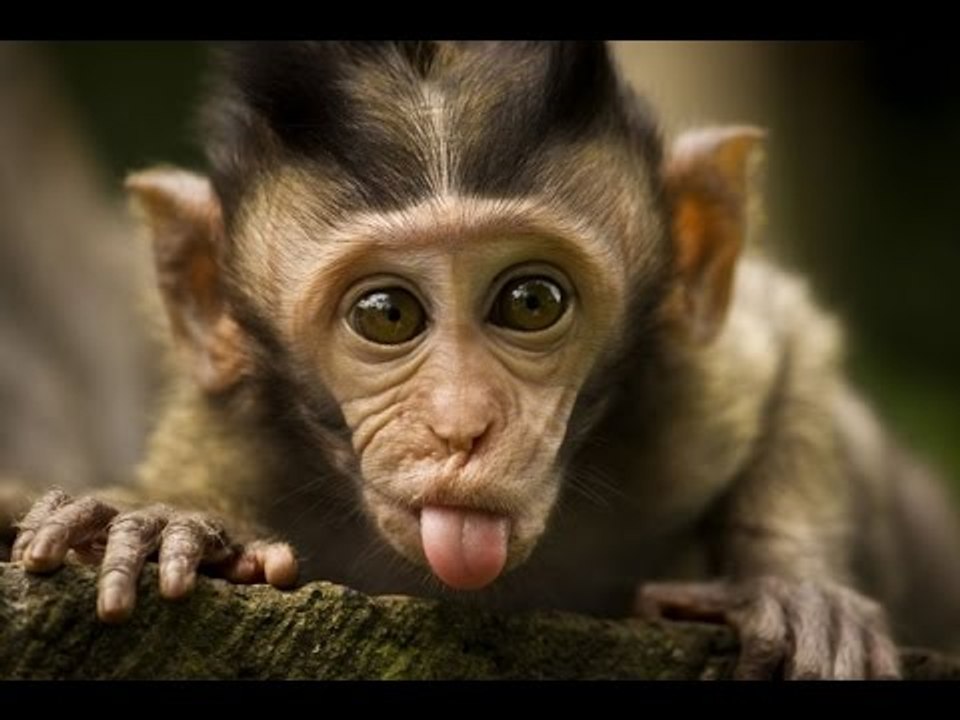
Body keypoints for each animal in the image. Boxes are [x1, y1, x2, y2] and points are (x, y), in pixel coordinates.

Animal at [9, 41, 960, 680]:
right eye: (387, 315)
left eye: (530, 302)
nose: (461, 427)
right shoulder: (233, 439)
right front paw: (171, 523)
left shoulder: (690, 405)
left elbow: (790, 340)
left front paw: (794, 587)